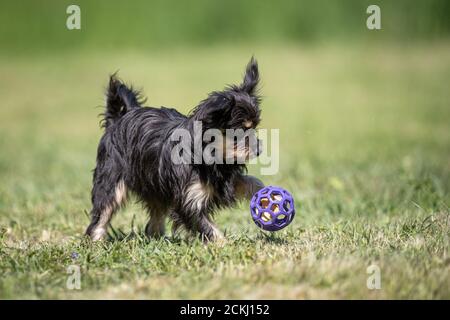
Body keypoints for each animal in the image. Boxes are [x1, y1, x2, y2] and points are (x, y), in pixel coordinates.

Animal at [85, 58, 264, 242]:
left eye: (254, 128)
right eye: (239, 131)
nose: (259, 149)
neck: (213, 155)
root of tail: (117, 120)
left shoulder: (226, 180)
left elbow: (254, 182)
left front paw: (268, 198)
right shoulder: (189, 200)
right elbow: (206, 227)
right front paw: (224, 244)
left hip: (154, 186)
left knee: (155, 216)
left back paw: (156, 238)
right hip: (112, 178)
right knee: (103, 211)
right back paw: (95, 241)